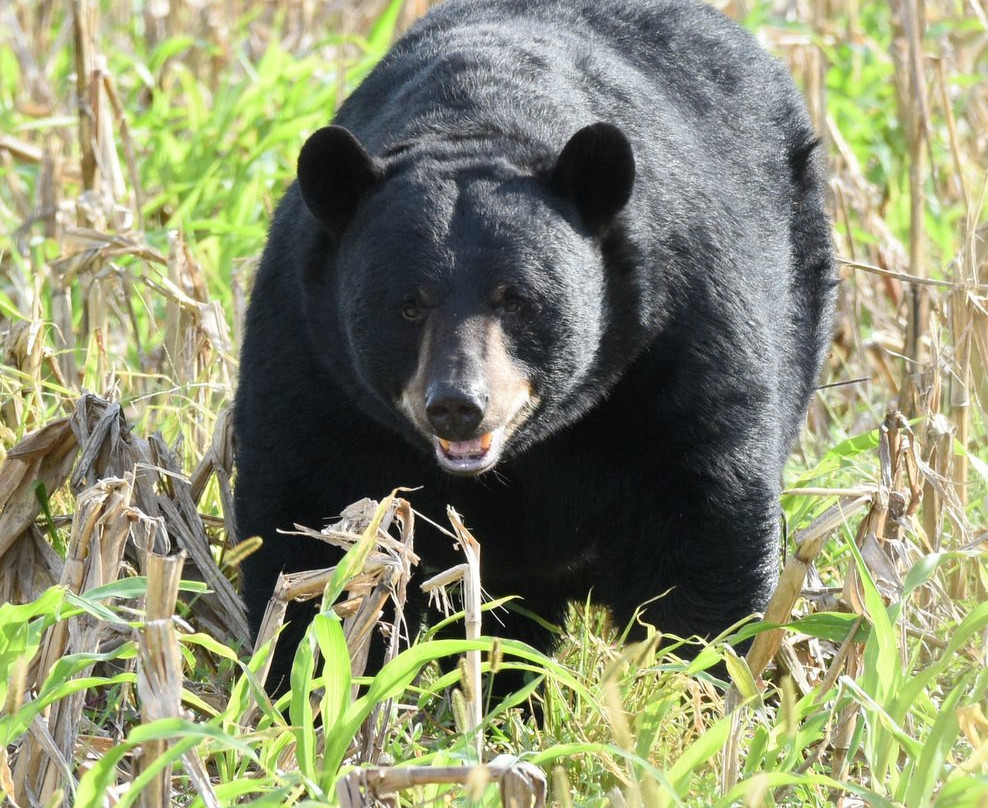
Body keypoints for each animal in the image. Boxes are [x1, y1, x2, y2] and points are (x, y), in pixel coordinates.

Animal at [232, 0, 832, 696]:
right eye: (408, 305)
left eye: (516, 299)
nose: (458, 405)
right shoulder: (307, 357)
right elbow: (310, 534)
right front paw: (300, 685)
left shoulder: (681, 335)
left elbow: (705, 527)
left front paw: (690, 689)